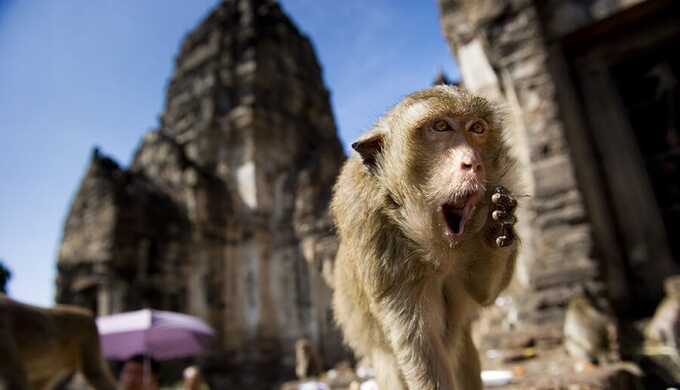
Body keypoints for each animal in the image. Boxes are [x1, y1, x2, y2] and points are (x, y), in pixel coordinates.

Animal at [332, 86, 516, 390]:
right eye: (440, 127)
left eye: (477, 128)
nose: (473, 163)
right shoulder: (375, 237)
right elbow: (420, 343)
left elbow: (483, 294)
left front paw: (496, 228)